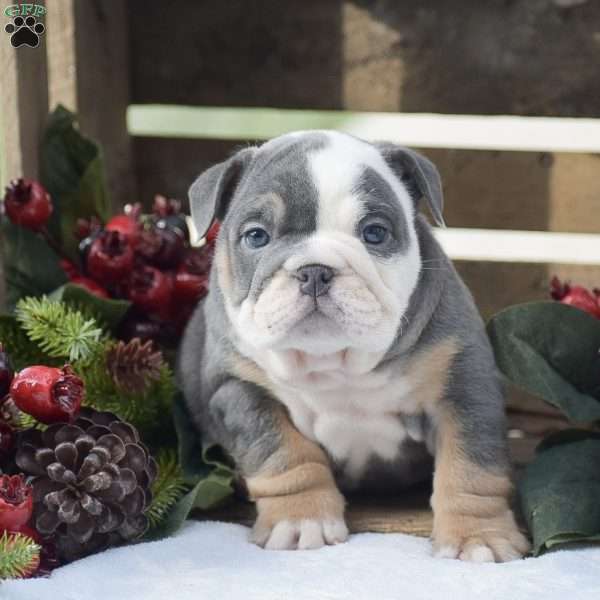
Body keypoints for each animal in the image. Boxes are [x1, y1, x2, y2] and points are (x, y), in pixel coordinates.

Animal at [178, 129, 528, 560]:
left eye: (374, 233)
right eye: (256, 236)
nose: (314, 271)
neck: (336, 363)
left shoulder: (463, 384)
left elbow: (471, 465)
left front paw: (478, 536)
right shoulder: (240, 391)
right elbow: (283, 455)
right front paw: (301, 520)